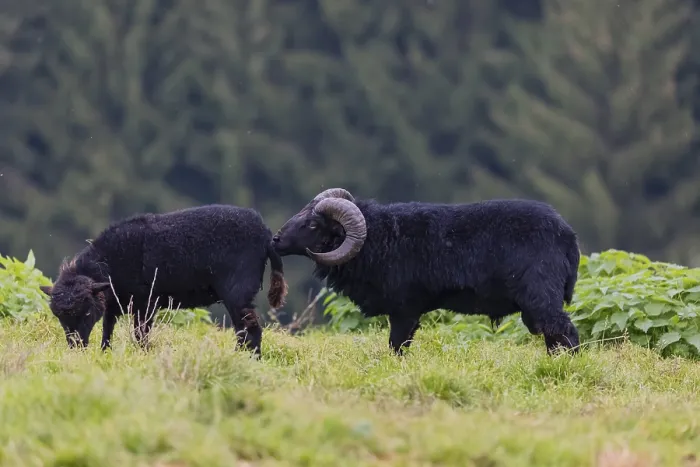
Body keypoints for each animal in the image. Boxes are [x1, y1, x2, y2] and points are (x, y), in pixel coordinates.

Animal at [39, 204, 288, 355]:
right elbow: (107, 330)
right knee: (243, 329)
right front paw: (104, 353)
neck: (110, 261)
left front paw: (143, 354)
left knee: (250, 329)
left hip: (238, 291)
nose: (76, 346)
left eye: (86, 313)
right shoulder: (114, 303)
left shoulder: (147, 302)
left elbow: (140, 333)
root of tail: (267, 235)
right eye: (59, 317)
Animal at [272, 188, 580, 355]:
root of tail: (567, 234)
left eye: (313, 224)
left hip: (541, 296)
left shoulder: (405, 310)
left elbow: (397, 346)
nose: (275, 240)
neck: (379, 237)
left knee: (565, 331)